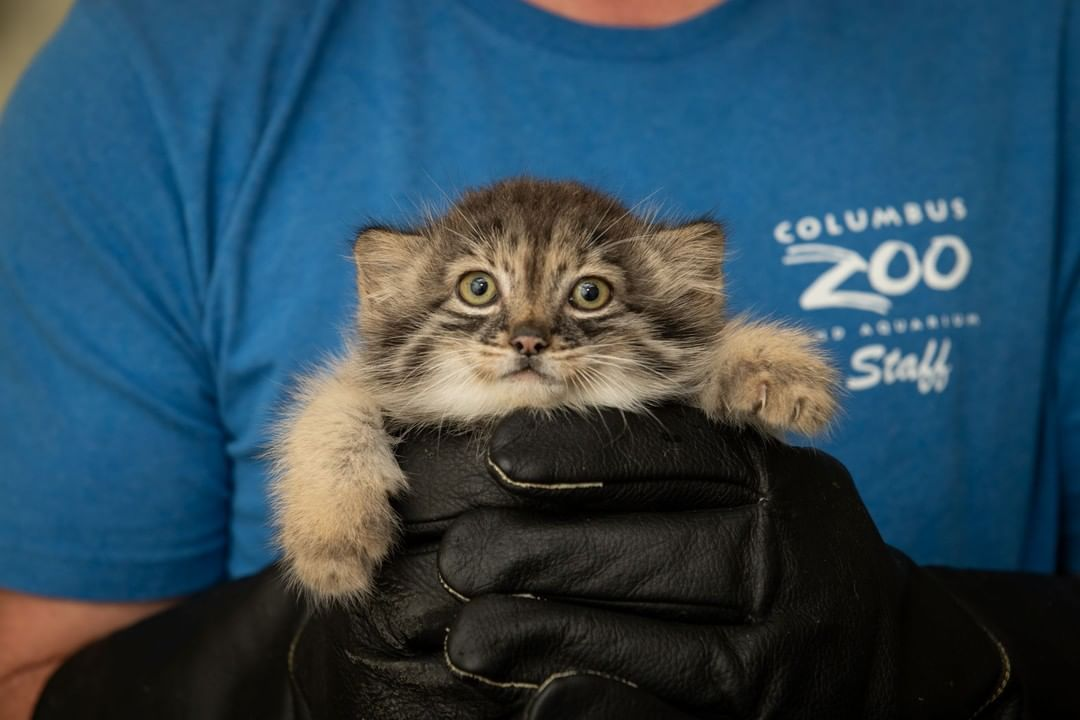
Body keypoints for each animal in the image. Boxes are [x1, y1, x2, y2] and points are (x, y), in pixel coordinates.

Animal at [267, 179, 833, 604]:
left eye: (590, 293)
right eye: (478, 288)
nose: (528, 339)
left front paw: (767, 363)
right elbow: (336, 399)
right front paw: (331, 535)